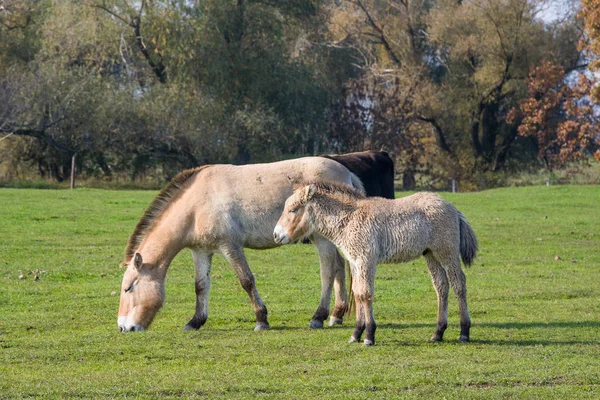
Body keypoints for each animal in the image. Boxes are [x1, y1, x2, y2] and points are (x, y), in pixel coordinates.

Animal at [116, 159, 360, 332]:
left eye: (129, 288)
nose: (124, 327)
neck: (195, 205)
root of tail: (347, 173)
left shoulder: (230, 246)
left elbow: (246, 281)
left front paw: (261, 320)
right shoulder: (201, 251)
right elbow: (200, 286)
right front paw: (195, 321)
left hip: (321, 239)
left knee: (328, 270)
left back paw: (318, 316)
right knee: (339, 266)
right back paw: (336, 315)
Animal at [276, 183, 478, 346]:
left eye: (293, 209)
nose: (276, 235)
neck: (350, 219)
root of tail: (452, 208)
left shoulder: (366, 260)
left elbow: (366, 294)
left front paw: (369, 336)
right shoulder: (355, 262)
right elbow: (357, 294)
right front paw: (356, 333)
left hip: (446, 252)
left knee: (459, 284)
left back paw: (464, 332)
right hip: (430, 255)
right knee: (441, 286)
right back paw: (438, 333)